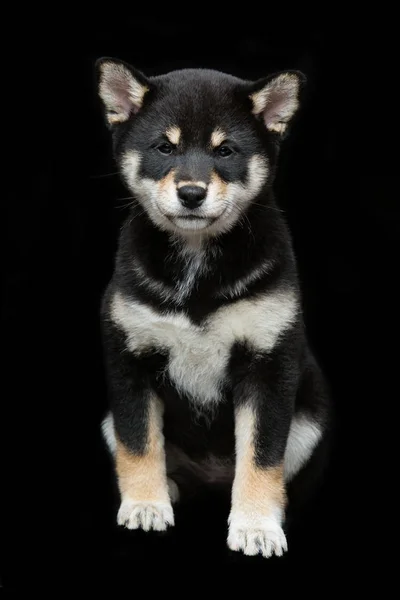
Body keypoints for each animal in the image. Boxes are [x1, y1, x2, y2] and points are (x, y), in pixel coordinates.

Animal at [96, 58, 332, 560]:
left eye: (225, 151)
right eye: (165, 147)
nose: (191, 193)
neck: (197, 262)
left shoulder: (268, 367)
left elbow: (262, 455)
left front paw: (257, 526)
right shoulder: (130, 360)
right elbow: (138, 442)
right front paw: (145, 505)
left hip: (310, 421)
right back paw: (169, 489)